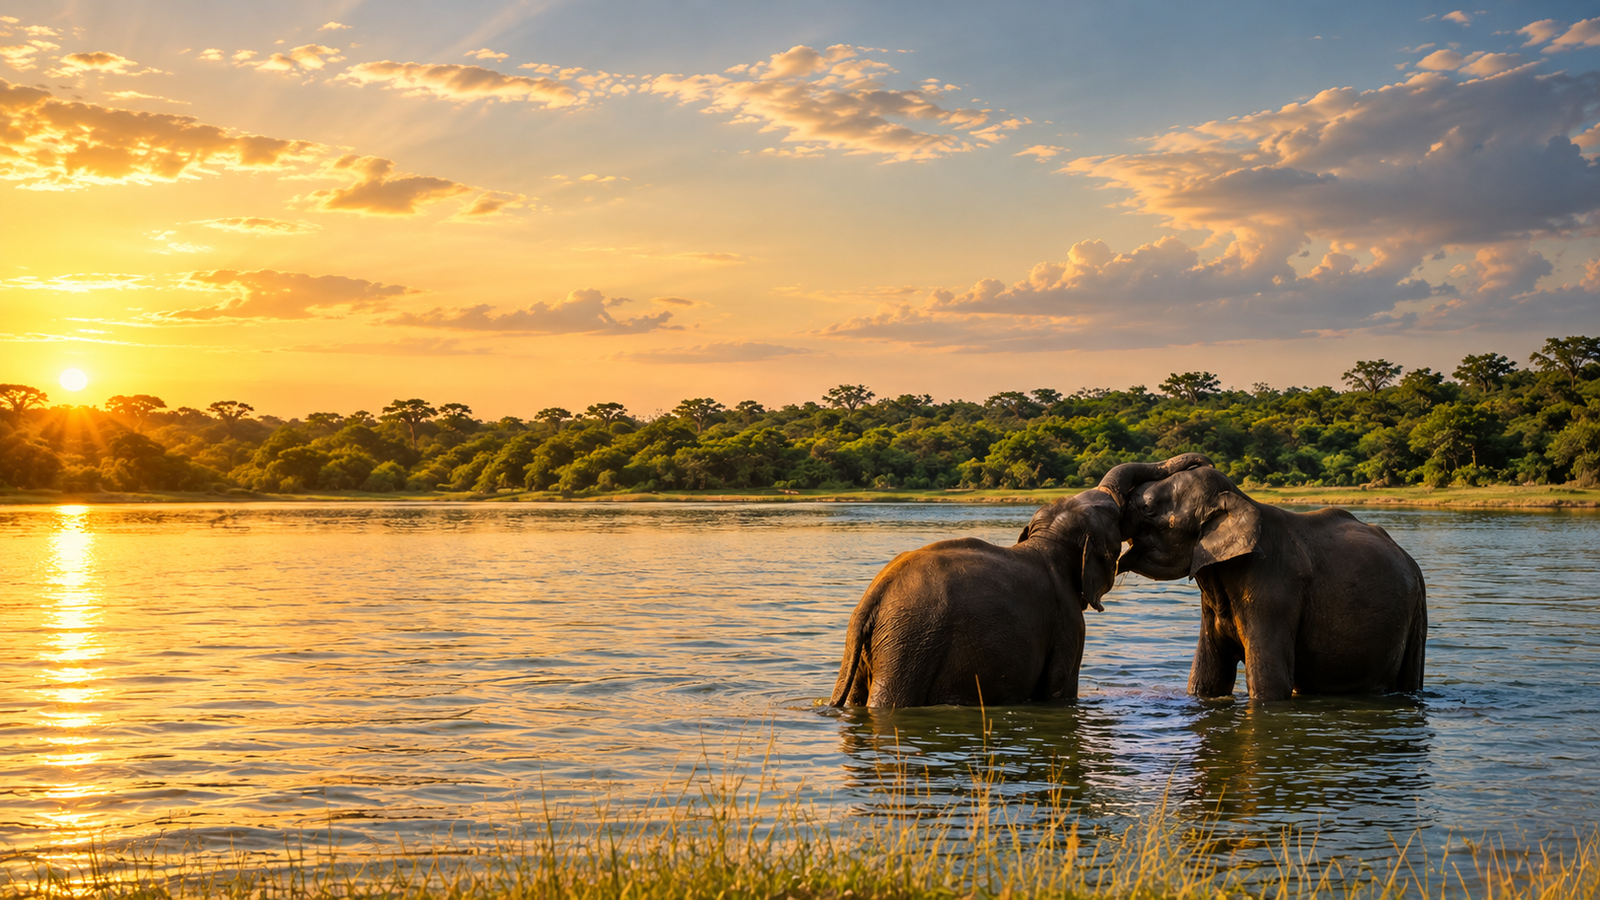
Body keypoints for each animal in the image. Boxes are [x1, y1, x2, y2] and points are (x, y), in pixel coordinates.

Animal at [829, 453, 1212, 708]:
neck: (1047, 541)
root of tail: (871, 600)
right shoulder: (1067, 623)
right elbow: (1059, 688)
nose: (1201, 462)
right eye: (1117, 511)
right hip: (910, 643)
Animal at [1117, 465, 1427, 700]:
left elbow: (1269, 683)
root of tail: (1410, 561)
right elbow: (1207, 678)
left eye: (1148, 507)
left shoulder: (1274, 592)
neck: (1241, 499)